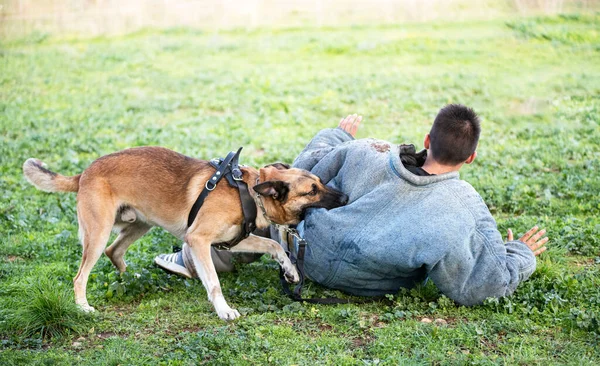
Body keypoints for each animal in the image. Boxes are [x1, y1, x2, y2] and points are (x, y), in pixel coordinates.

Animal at [23, 147, 350, 320]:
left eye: (321, 182)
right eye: (312, 190)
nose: (346, 197)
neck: (248, 191)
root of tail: (84, 173)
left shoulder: (234, 240)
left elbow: (274, 246)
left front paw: (291, 271)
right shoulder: (198, 241)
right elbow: (214, 283)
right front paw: (224, 310)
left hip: (140, 224)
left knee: (114, 251)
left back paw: (134, 279)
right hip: (99, 232)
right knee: (81, 275)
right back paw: (83, 306)